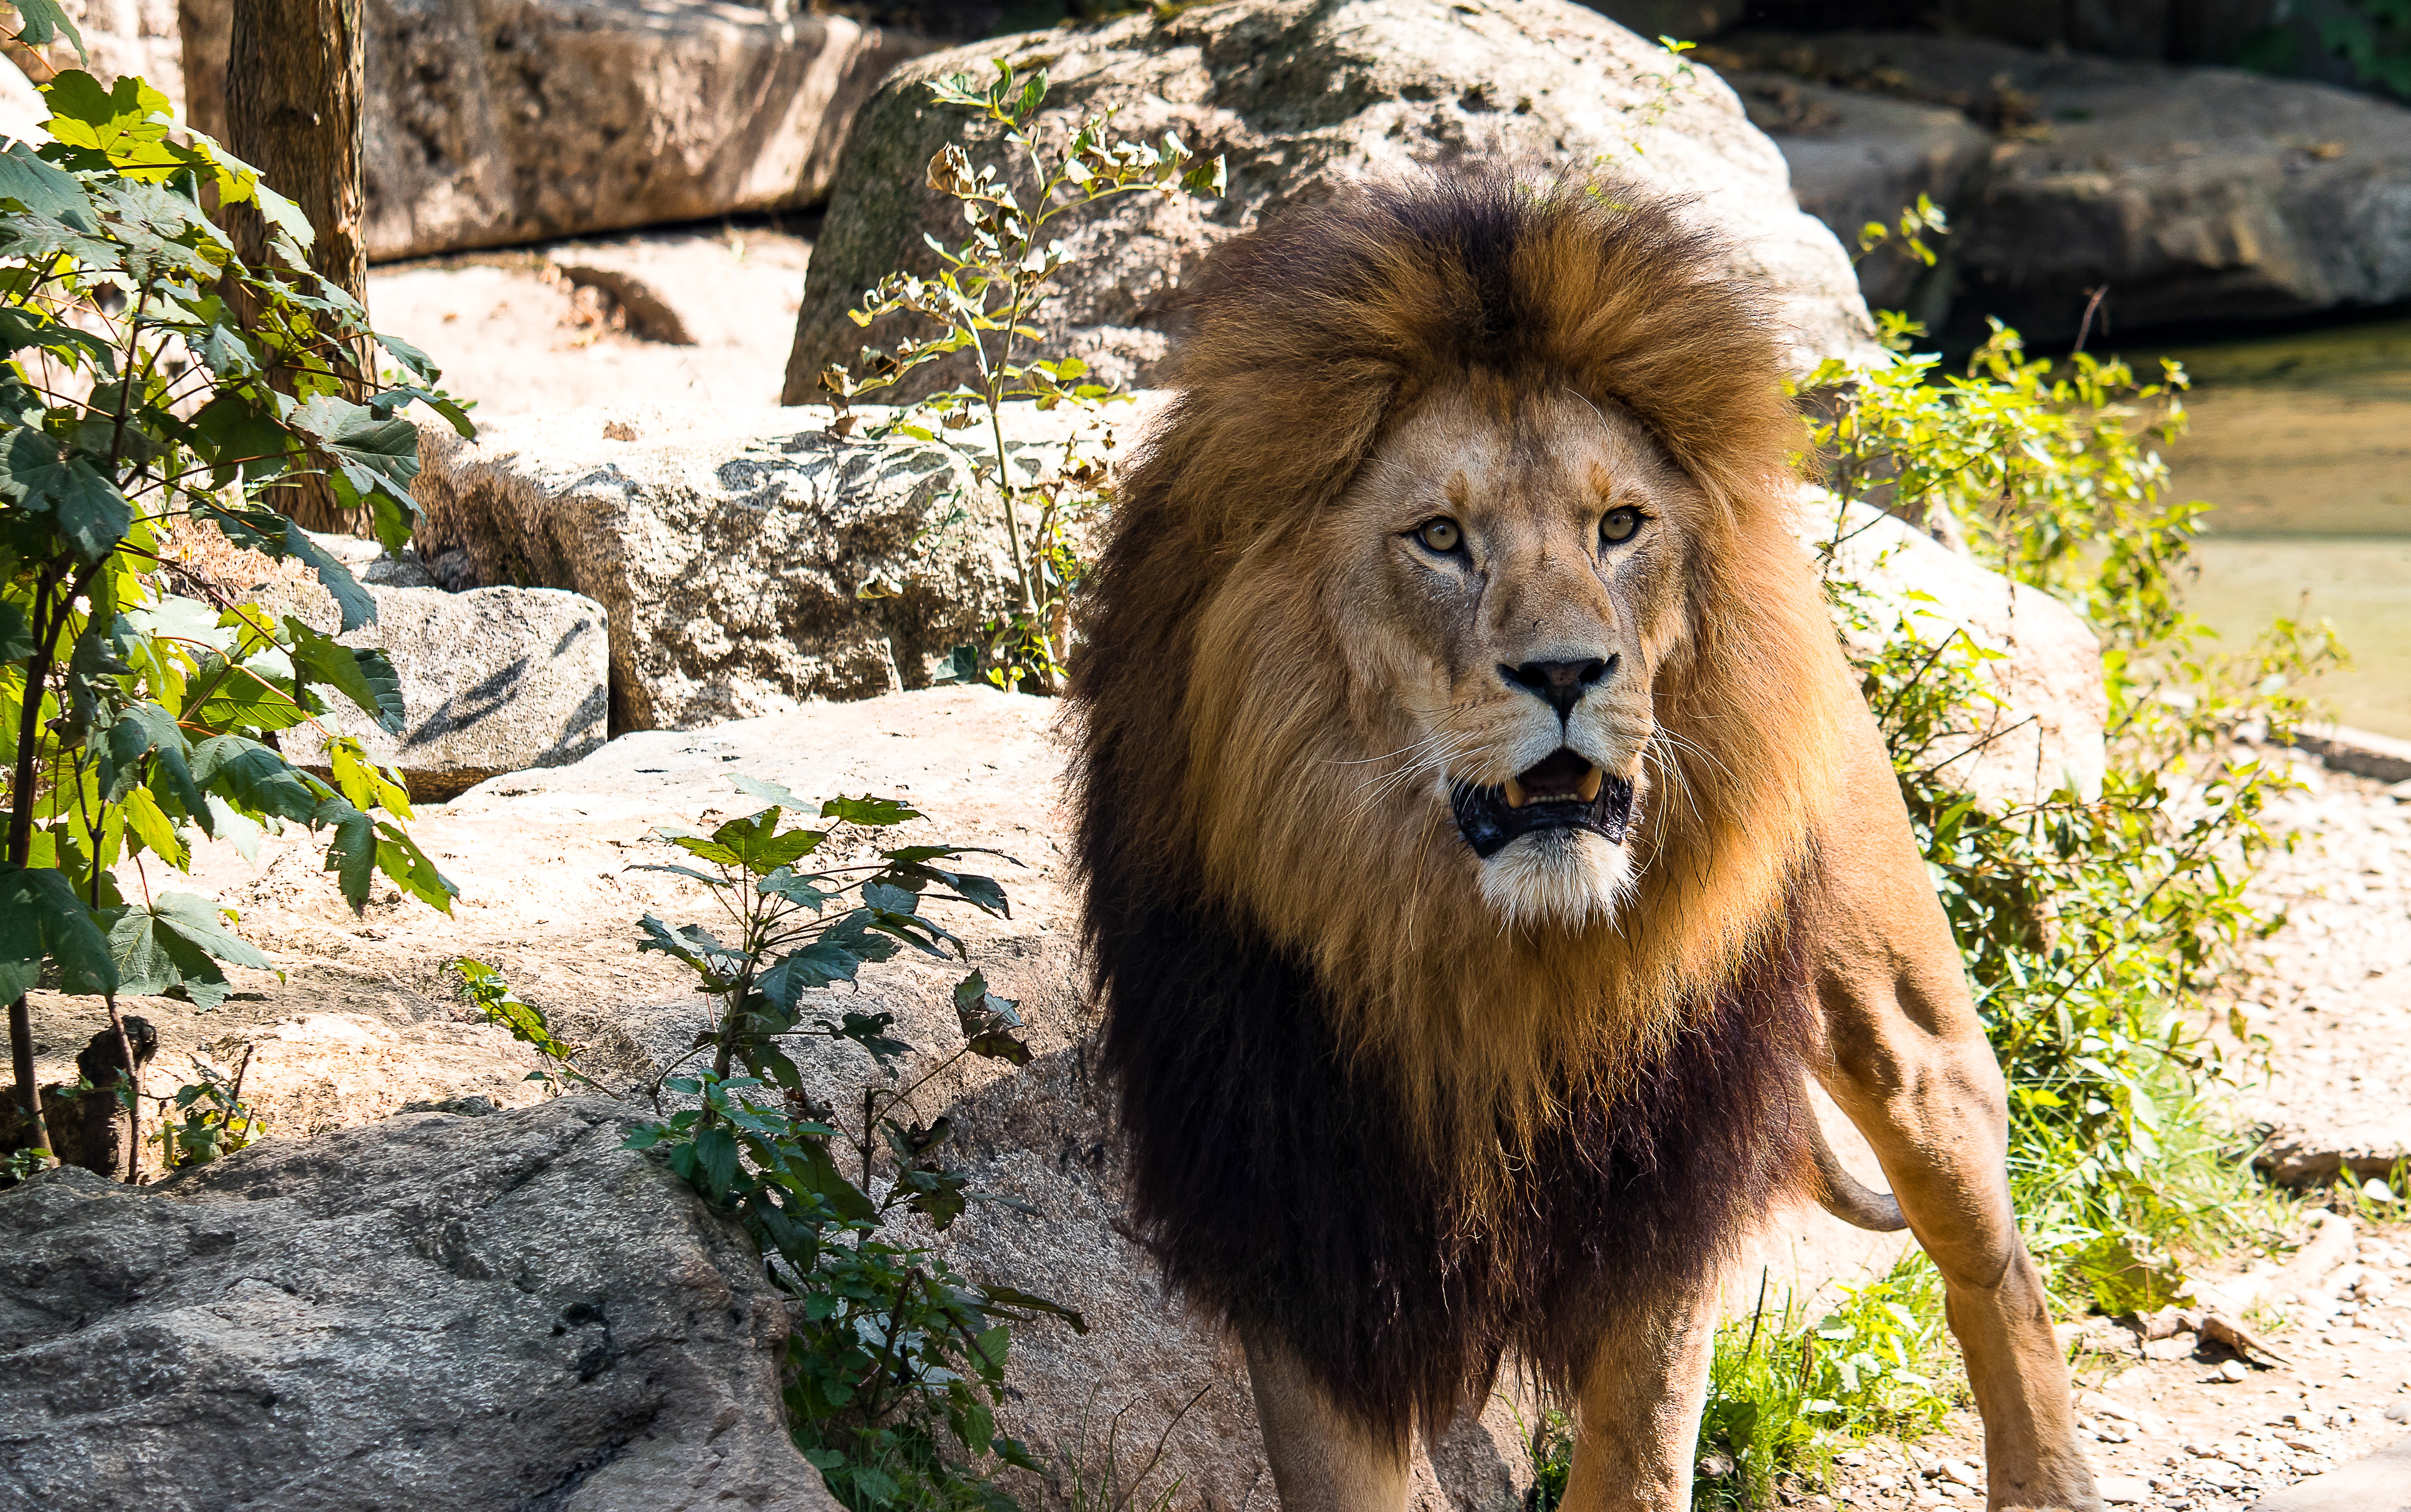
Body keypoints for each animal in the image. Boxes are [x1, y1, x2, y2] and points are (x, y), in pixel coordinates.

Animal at [1065, 181, 2102, 1512]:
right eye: (1438, 537)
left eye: (1619, 526)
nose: (1567, 672)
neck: (1488, 960)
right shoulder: (1299, 1210)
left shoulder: (1660, 1183)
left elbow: (1640, 1455)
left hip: (1908, 1038)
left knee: (1996, 1258)